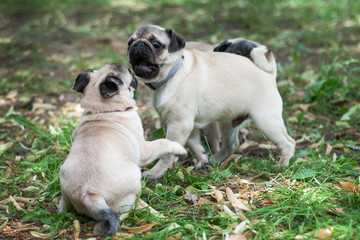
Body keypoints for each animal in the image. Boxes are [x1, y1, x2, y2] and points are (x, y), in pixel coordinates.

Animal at [58, 63, 186, 236]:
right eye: (130, 78)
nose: (133, 72)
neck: (102, 111)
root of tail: (91, 196)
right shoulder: (145, 150)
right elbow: (162, 142)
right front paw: (179, 148)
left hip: (63, 175)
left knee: (64, 201)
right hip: (134, 175)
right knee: (133, 206)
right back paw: (156, 213)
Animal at [126, 25, 296, 179]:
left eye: (156, 44)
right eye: (130, 42)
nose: (138, 45)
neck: (173, 73)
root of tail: (269, 72)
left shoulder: (179, 125)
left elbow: (168, 152)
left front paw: (156, 172)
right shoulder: (189, 126)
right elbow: (194, 145)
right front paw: (203, 160)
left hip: (266, 121)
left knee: (289, 142)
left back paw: (282, 164)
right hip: (228, 123)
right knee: (231, 144)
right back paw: (215, 159)